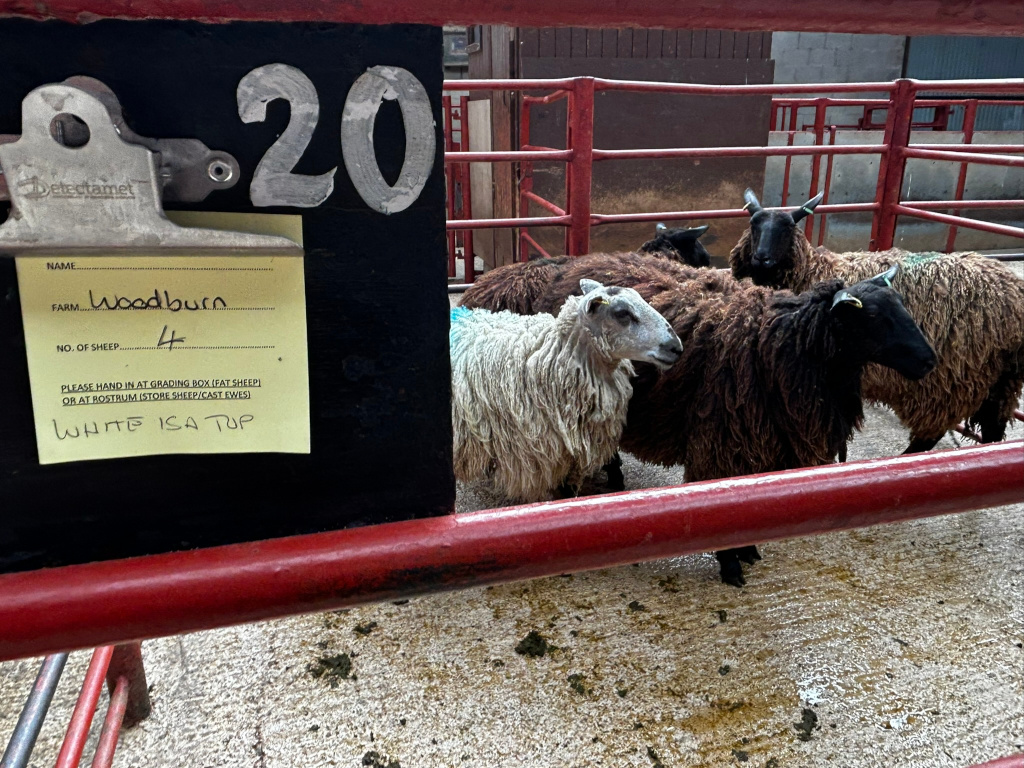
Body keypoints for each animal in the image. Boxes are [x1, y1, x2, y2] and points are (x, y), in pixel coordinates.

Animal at [480, 252, 937, 586]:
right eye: (873, 317)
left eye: (902, 307)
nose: (929, 360)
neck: (782, 345)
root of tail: (569, 267)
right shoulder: (724, 441)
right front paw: (730, 566)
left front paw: (748, 551)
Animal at [730, 189, 1024, 452]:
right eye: (754, 225)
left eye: (787, 228)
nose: (762, 258)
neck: (813, 271)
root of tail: (1013, 296)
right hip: (997, 383)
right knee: (993, 429)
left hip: (947, 383)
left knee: (930, 434)